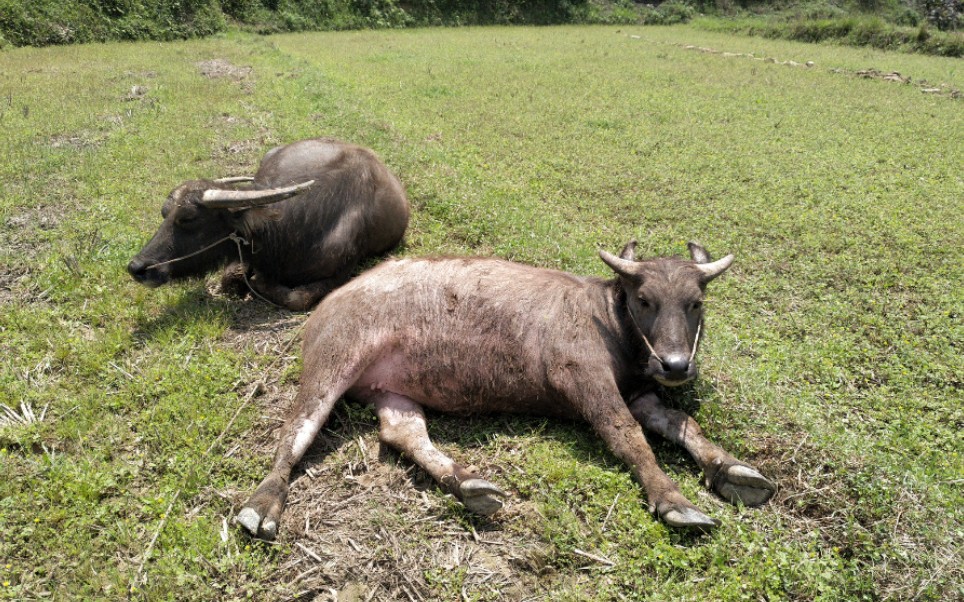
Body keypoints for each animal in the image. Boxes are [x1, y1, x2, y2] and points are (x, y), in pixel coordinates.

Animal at [126, 137, 408, 310]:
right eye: (164, 214)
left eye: (188, 219)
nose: (137, 267)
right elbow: (229, 279)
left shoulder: (340, 272)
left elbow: (295, 297)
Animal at [237, 239, 780, 536]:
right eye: (644, 299)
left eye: (695, 302)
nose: (675, 364)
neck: (609, 321)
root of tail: (330, 300)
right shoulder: (587, 383)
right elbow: (629, 438)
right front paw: (674, 500)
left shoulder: (642, 391)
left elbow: (682, 423)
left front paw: (733, 470)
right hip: (331, 364)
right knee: (296, 430)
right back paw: (260, 506)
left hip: (390, 391)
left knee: (402, 434)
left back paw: (469, 486)